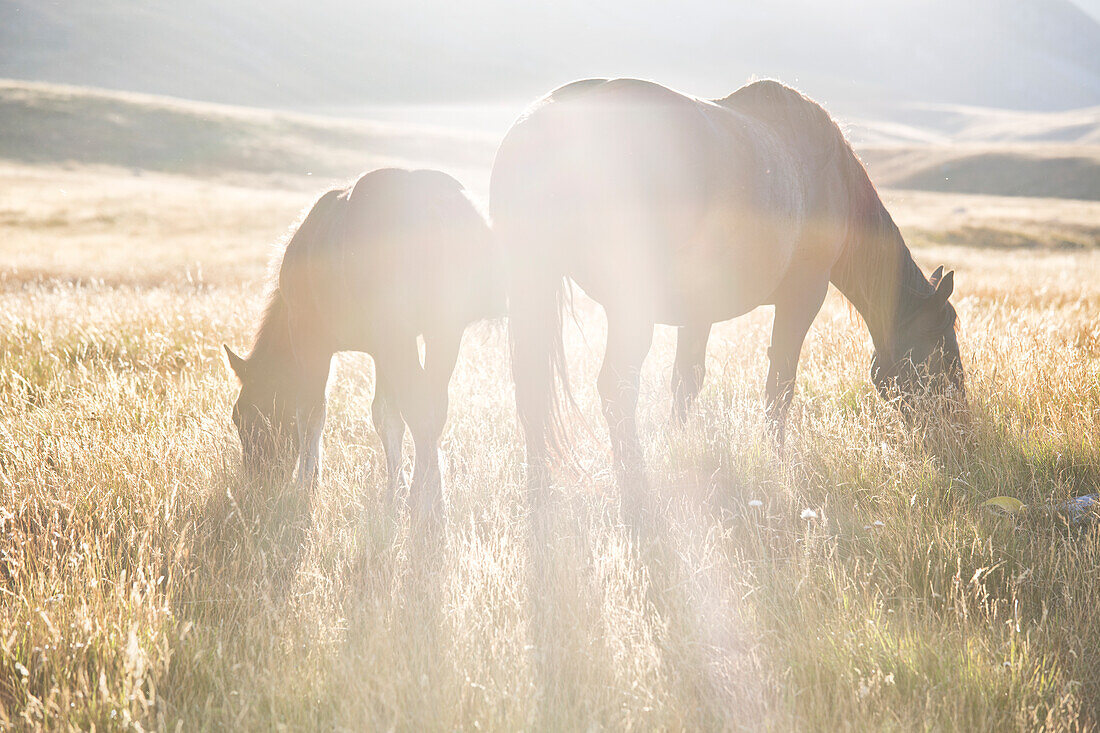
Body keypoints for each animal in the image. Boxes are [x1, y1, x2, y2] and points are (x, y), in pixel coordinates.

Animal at [223, 165, 503, 519]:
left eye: (243, 415)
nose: (258, 479)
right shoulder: (383, 349)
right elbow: (386, 416)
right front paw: (394, 490)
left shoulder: (310, 339)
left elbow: (311, 410)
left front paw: (306, 486)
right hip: (441, 331)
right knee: (433, 407)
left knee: (421, 407)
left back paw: (426, 500)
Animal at [490, 77, 963, 506]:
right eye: (942, 342)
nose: (957, 423)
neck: (830, 180)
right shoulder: (801, 299)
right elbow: (780, 386)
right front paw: (776, 461)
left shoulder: (696, 313)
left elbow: (686, 382)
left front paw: (678, 449)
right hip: (629, 307)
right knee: (616, 389)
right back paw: (634, 483)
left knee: (532, 390)